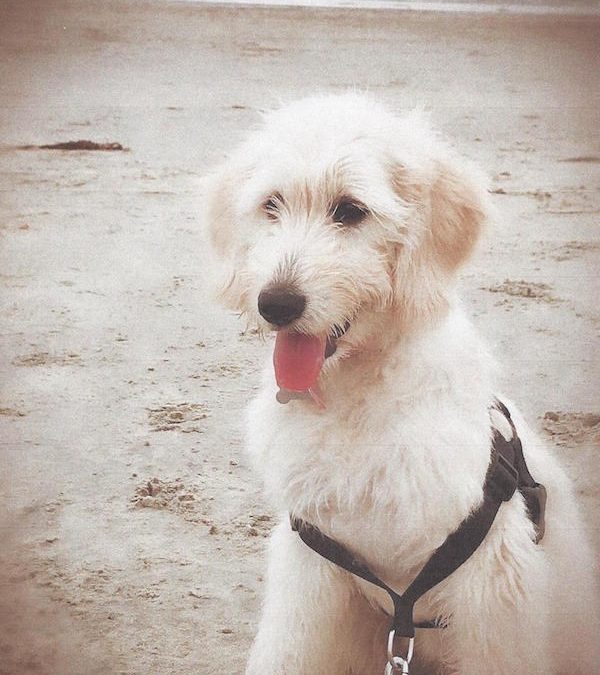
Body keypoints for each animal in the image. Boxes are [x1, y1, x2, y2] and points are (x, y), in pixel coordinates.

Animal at [203, 92, 600, 672]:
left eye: (350, 210)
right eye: (271, 205)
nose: (275, 304)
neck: (358, 403)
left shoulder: (492, 587)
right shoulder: (312, 573)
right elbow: (286, 652)